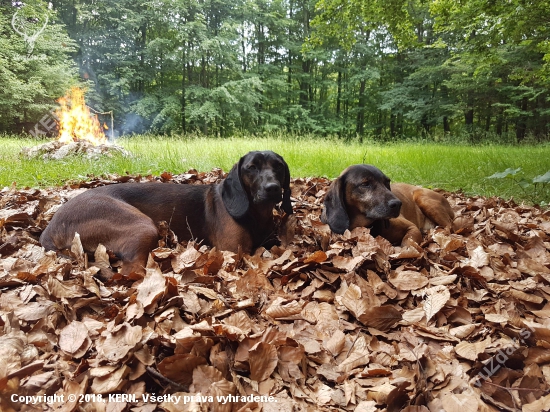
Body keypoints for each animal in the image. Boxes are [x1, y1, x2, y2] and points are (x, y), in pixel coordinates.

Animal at [40, 151, 294, 276]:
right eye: (251, 168)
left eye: (279, 166)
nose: (273, 188)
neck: (256, 214)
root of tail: (51, 227)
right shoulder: (233, 250)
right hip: (143, 226)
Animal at [322, 164, 454, 246]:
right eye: (365, 184)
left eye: (387, 182)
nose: (398, 204)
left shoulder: (413, 228)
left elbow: (407, 243)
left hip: (423, 198)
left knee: (449, 227)